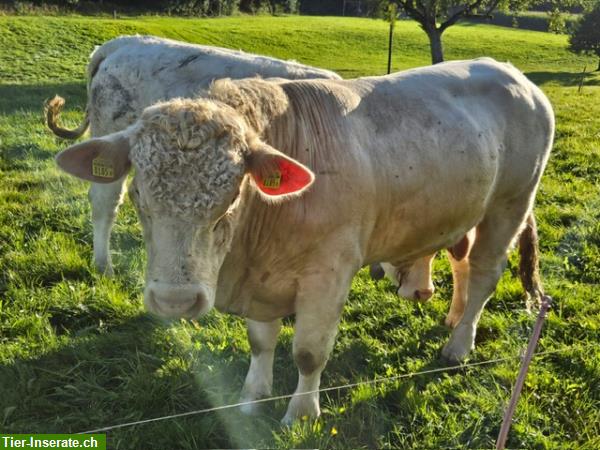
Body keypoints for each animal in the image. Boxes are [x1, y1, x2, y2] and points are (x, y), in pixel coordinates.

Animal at [55, 59, 552, 422]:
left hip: (511, 204)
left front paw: (301, 413)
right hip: (468, 208)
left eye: (233, 195)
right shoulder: (262, 283)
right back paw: (453, 317)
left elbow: (310, 354)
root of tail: (511, 72)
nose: (175, 302)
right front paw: (252, 397)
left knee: (486, 273)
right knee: (461, 261)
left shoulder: (328, 276)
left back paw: (459, 344)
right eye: (139, 193)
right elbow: (261, 342)